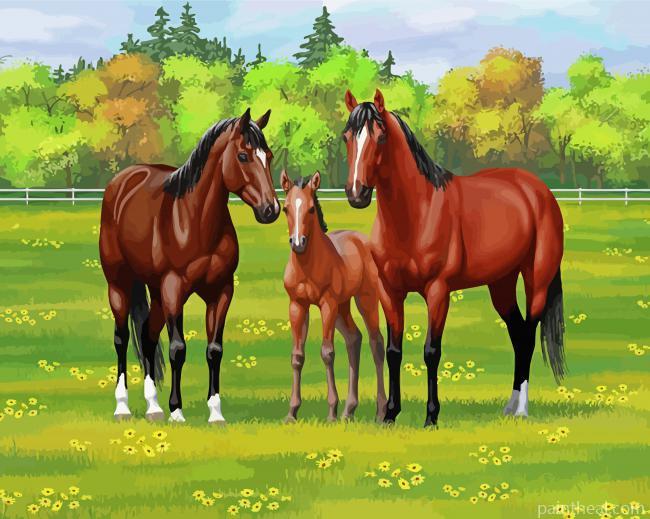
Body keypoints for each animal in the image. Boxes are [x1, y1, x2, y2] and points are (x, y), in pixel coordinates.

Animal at [99, 108, 280, 424]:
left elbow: (214, 350)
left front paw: (215, 412)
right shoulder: (174, 289)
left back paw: (153, 407)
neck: (193, 221)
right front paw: (177, 411)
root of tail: (121, 183)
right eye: (243, 155)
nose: (271, 210)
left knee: (147, 336)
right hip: (119, 284)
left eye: (267, 156)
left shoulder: (221, 291)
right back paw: (123, 407)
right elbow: (177, 349)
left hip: (156, 292)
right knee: (122, 338)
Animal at [280, 171, 387, 423]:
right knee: (354, 338)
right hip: (343, 306)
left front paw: (331, 412)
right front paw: (292, 412)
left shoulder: (326, 304)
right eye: (285, 208)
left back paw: (380, 412)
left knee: (376, 343)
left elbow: (327, 352)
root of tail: (363, 241)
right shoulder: (297, 305)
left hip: (365, 299)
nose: (298, 243)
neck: (308, 266)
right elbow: (297, 356)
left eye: (311, 208)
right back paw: (349, 410)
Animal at [341, 89, 566, 427]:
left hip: (537, 281)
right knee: (517, 334)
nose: (357, 193)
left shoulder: (438, 291)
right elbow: (394, 350)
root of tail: (538, 190)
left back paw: (522, 410)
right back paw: (509, 406)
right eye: (346, 137)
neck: (416, 214)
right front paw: (390, 414)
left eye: (380, 137)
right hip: (501, 284)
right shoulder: (389, 291)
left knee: (527, 335)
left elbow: (431, 351)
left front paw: (431, 417)